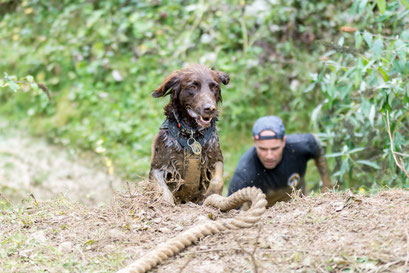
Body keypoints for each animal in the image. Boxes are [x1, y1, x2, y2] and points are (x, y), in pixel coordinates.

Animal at [148, 64, 230, 204]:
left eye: (214, 86)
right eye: (192, 86)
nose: (210, 108)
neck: (192, 133)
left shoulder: (216, 159)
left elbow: (217, 181)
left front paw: (211, 194)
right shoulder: (158, 168)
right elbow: (164, 191)